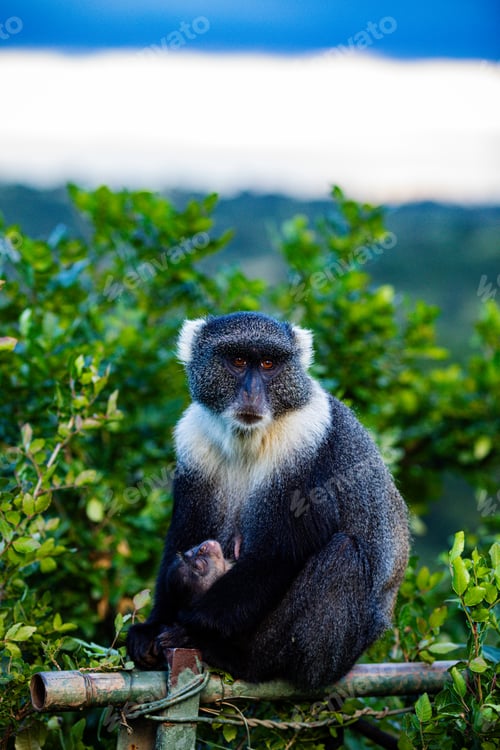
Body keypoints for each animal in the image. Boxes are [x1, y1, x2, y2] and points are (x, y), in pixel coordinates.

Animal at [127, 311, 409, 688]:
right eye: (237, 361)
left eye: (268, 364)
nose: (251, 392)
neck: (248, 437)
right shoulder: (194, 443)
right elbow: (186, 536)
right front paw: (151, 628)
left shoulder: (306, 444)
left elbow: (280, 551)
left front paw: (190, 628)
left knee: (343, 554)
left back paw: (238, 658)